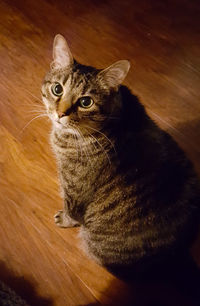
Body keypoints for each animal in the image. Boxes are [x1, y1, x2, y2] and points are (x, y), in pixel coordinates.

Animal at [41, 33, 200, 268]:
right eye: (57, 89)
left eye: (86, 102)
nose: (61, 114)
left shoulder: (74, 186)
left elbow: (71, 208)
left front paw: (66, 219)